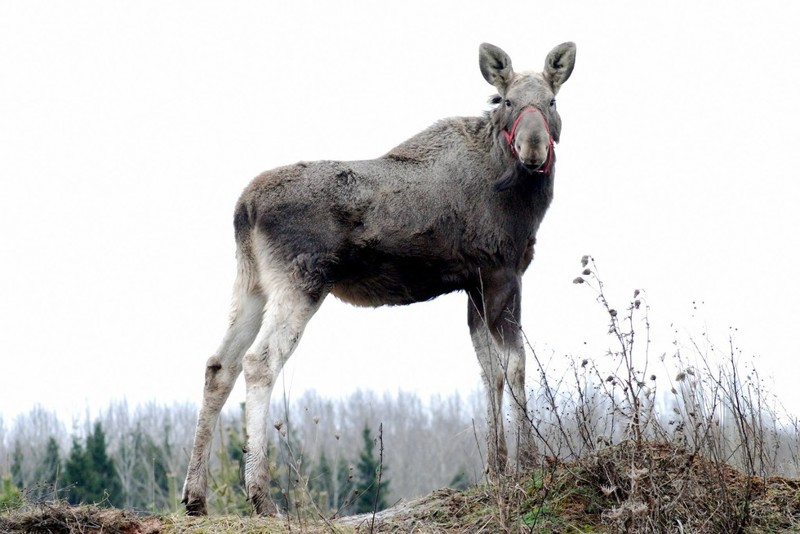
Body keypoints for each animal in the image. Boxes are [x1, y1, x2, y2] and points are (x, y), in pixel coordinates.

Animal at [181, 44, 576, 516]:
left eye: (552, 101)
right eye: (508, 101)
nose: (533, 147)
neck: (522, 199)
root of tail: (243, 208)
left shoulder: (474, 285)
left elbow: (489, 371)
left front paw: (496, 469)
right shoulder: (503, 274)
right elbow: (515, 365)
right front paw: (528, 464)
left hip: (252, 283)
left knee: (218, 365)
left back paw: (195, 496)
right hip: (301, 281)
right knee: (258, 362)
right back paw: (261, 496)